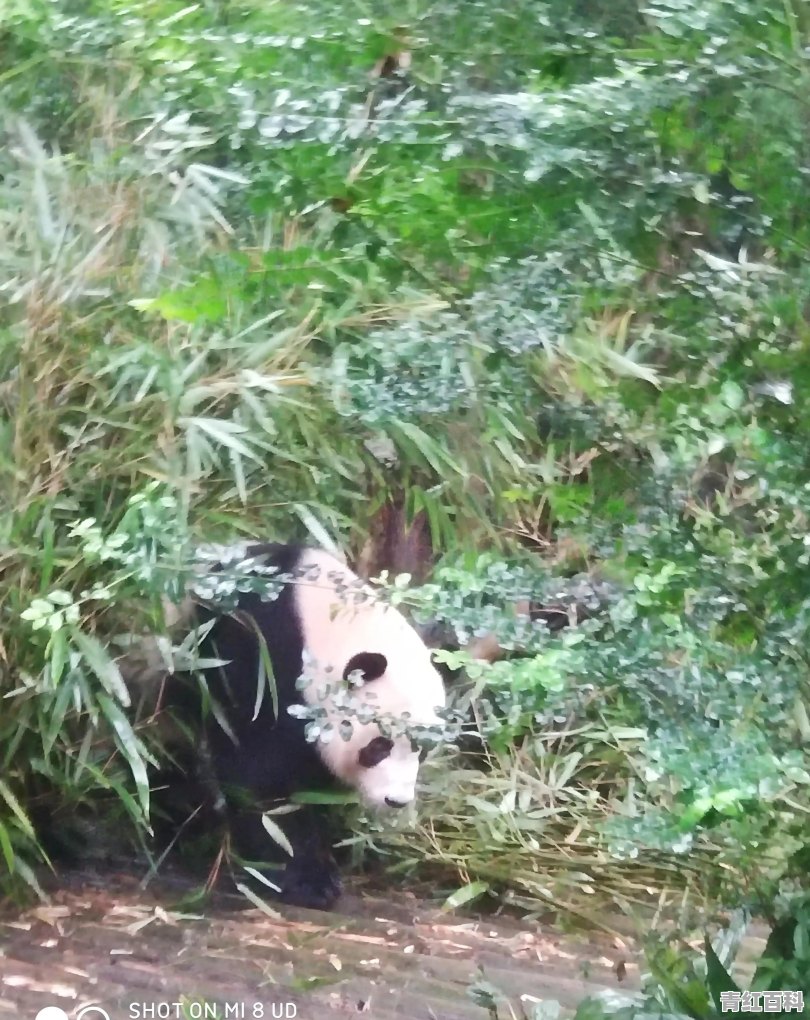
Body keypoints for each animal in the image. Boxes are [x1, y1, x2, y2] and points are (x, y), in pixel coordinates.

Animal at [159, 542, 448, 909]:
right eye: (379, 746)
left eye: (421, 750)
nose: (395, 801)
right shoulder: (260, 657)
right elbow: (262, 778)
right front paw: (310, 881)